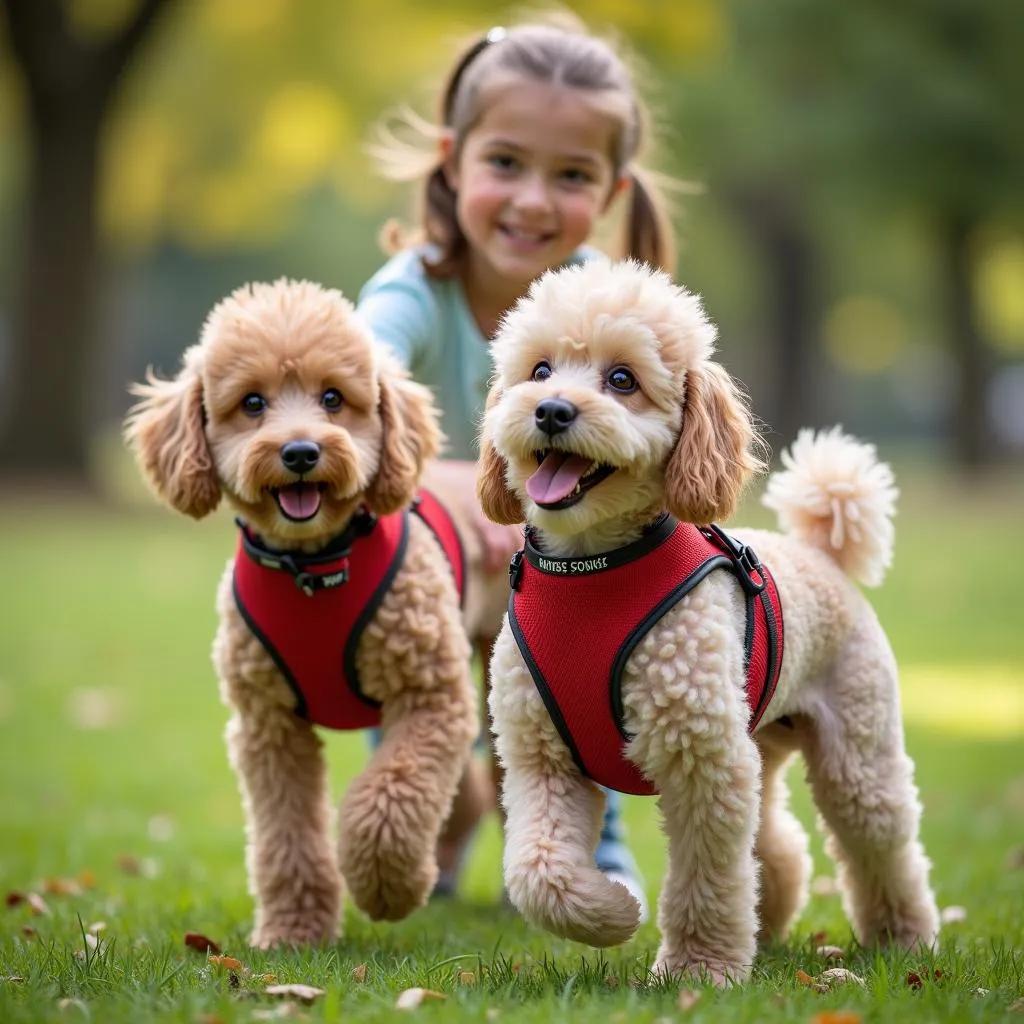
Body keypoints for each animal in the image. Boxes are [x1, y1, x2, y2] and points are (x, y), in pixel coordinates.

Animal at [125, 276, 505, 946]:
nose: (300, 452)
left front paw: (386, 888)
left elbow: (388, 798)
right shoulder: (269, 724)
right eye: (252, 403)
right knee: (467, 791)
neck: (314, 569)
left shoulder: (429, 697)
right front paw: (294, 930)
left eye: (334, 398)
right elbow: (286, 833)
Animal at [475, 258, 937, 983]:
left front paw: (699, 970)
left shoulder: (703, 759)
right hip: (761, 740)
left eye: (622, 380)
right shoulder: (539, 755)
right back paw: (770, 924)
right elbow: (537, 872)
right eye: (540, 370)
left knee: (882, 843)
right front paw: (613, 914)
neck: (593, 567)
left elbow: (707, 877)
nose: (550, 411)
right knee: (778, 844)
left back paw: (905, 938)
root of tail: (821, 550)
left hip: (855, 753)